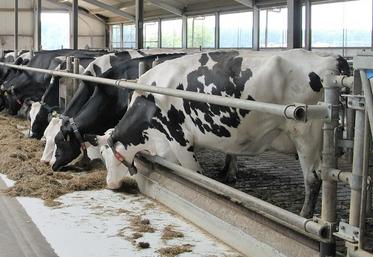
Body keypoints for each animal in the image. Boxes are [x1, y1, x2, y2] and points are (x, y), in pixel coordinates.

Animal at [86, 49, 348, 217]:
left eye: (108, 156)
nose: (109, 184)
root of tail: (329, 59)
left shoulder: (180, 141)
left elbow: (195, 176)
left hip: (306, 134)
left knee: (313, 179)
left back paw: (304, 215)